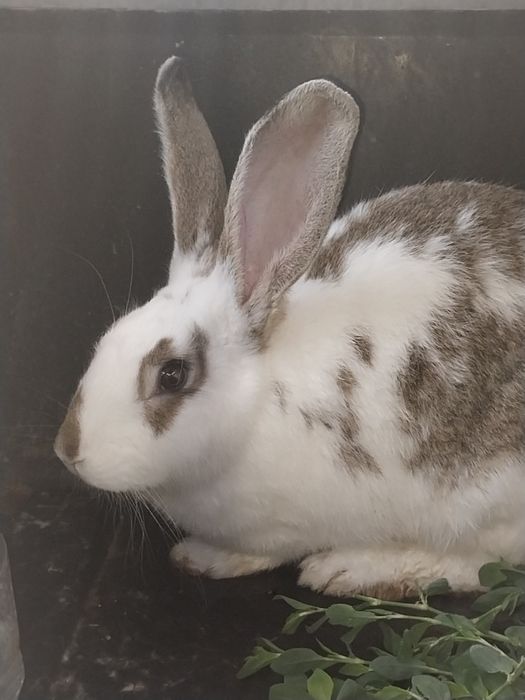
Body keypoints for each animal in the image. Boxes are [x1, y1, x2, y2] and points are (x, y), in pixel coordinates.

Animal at [54, 55, 525, 600]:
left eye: (171, 374)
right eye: (108, 336)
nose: (68, 451)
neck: (256, 402)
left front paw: (207, 556)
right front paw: (203, 554)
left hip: (488, 502)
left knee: (479, 563)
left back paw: (354, 568)